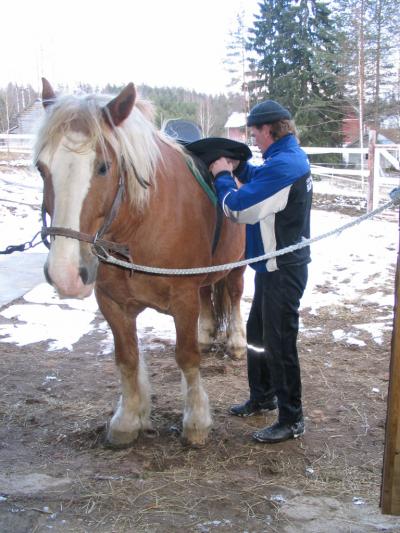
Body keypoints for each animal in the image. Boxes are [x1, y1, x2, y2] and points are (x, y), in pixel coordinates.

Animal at [34, 78, 247, 444]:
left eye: (103, 167)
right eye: (41, 167)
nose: (65, 274)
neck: (140, 227)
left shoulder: (183, 299)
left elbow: (186, 357)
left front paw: (196, 421)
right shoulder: (112, 303)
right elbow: (127, 358)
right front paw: (128, 419)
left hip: (237, 265)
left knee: (232, 297)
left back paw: (235, 343)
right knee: (208, 297)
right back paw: (207, 335)